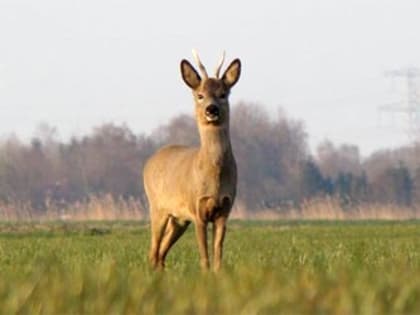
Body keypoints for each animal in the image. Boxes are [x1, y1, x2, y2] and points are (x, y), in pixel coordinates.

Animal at [144, 51, 241, 272]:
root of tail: (151, 160)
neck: (213, 176)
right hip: (157, 207)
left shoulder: (225, 210)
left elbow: (218, 255)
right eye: (200, 95)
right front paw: (205, 274)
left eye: (223, 94)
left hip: (179, 219)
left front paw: (217, 275)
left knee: (161, 253)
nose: (212, 109)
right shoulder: (197, 210)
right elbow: (204, 256)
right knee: (153, 250)